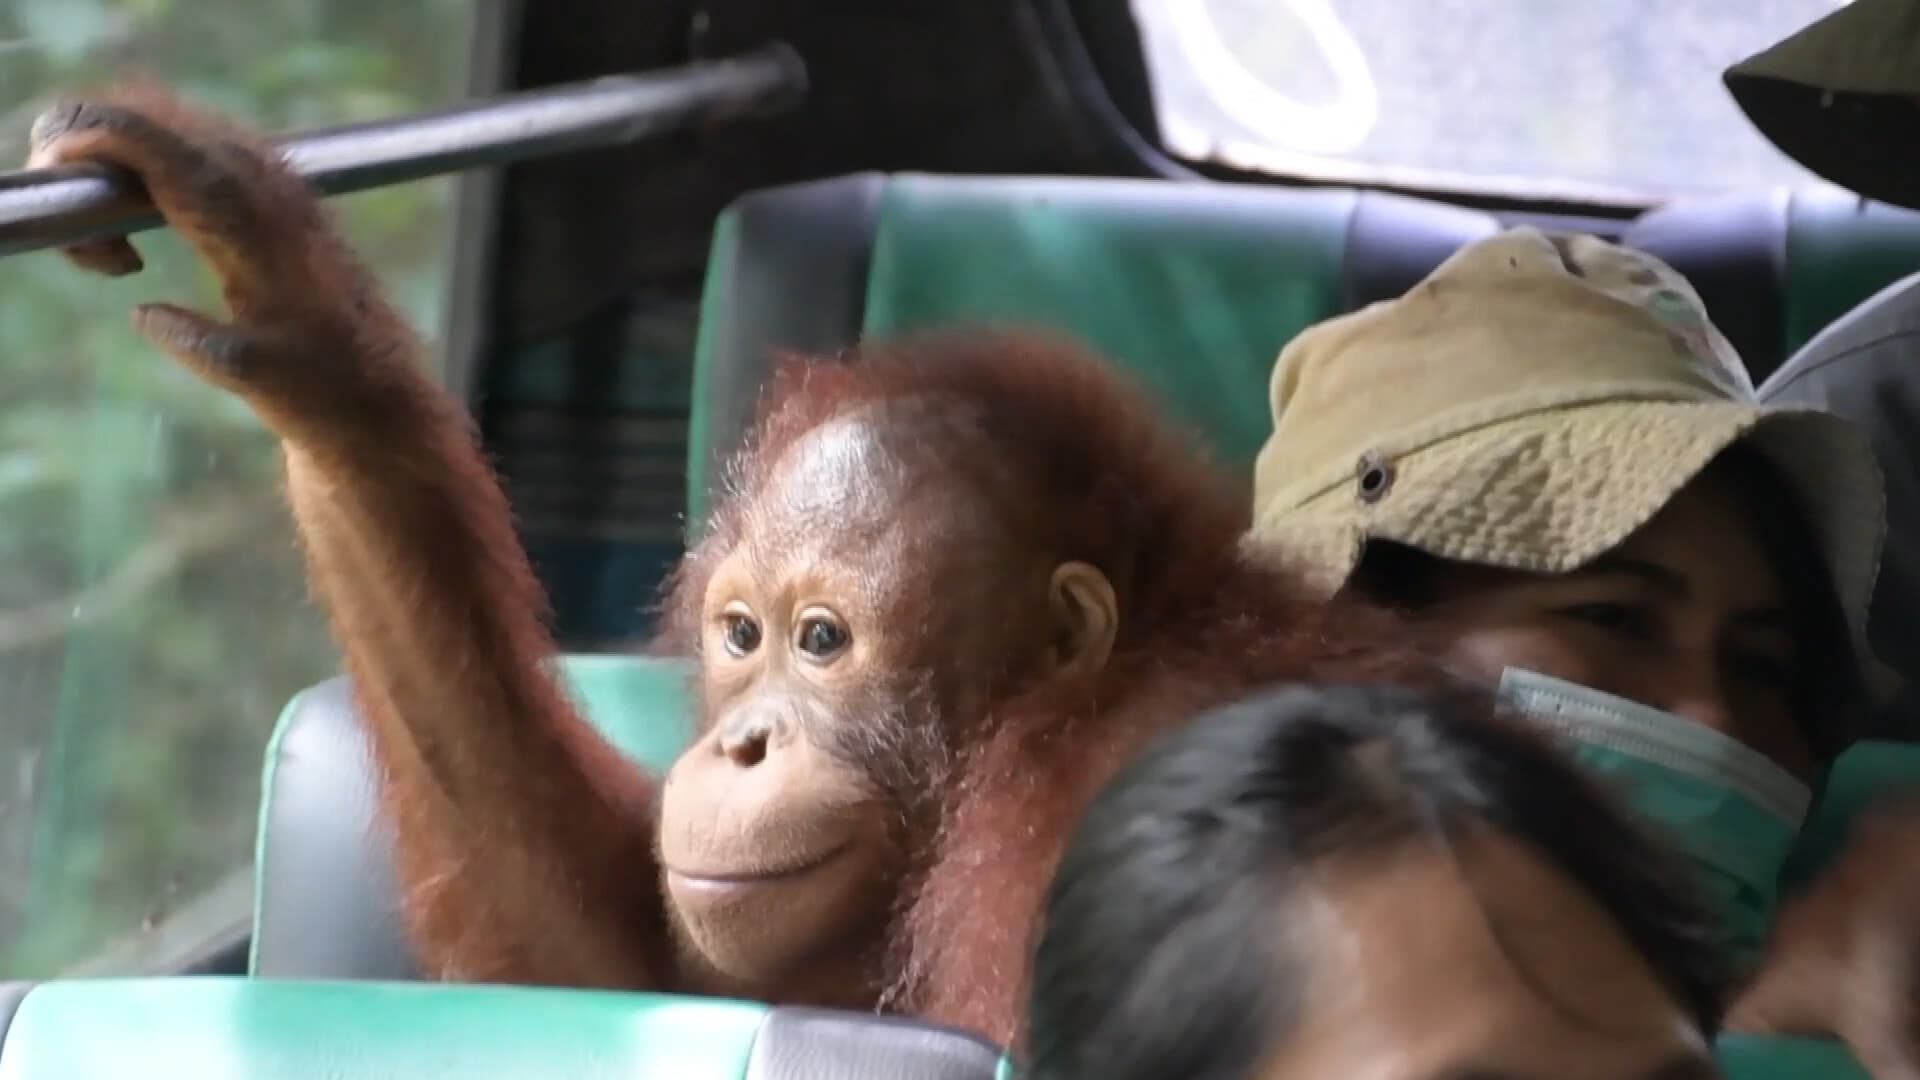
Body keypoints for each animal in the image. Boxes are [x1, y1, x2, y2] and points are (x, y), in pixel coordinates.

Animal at [24, 85, 1451, 1045]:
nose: (741, 745)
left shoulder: (1096, 800)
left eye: (824, 640)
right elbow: (624, 956)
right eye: (742, 637)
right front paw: (318, 346)